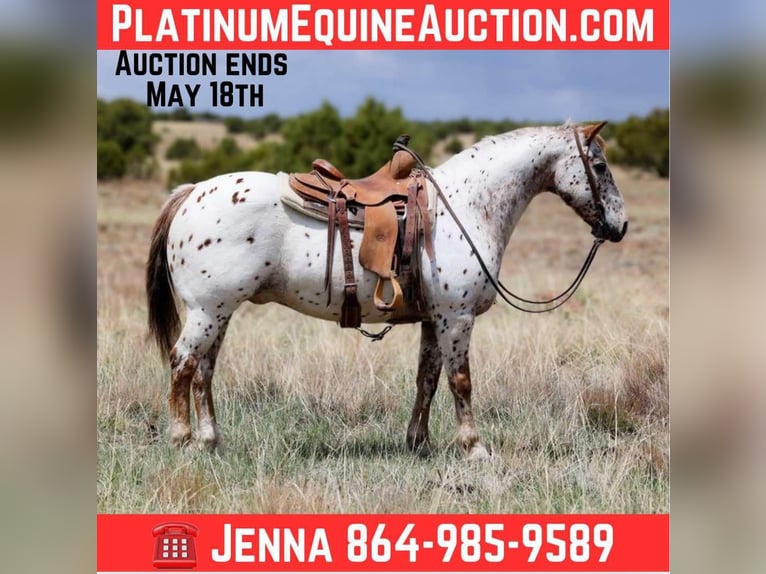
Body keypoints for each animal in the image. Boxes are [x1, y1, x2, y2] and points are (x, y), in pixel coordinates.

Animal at [146, 122, 627, 460]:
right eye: (600, 166)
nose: (619, 226)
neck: (466, 206)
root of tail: (192, 192)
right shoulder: (457, 318)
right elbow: (461, 381)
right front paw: (474, 447)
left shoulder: (436, 319)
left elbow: (427, 379)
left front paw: (418, 442)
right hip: (207, 311)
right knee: (183, 363)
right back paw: (182, 438)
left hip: (220, 312)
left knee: (204, 371)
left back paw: (211, 441)